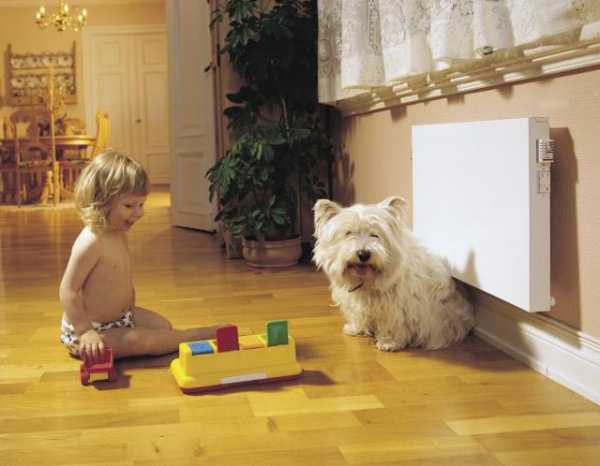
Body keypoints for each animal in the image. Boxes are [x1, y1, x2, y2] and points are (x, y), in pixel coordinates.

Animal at [313, 196, 474, 351]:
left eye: (375, 234)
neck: (366, 281)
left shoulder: (397, 306)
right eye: (348, 233)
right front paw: (355, 329)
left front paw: (388, 343)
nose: (363, 254)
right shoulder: (355, 303)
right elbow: (358, 315)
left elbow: (393, 324)